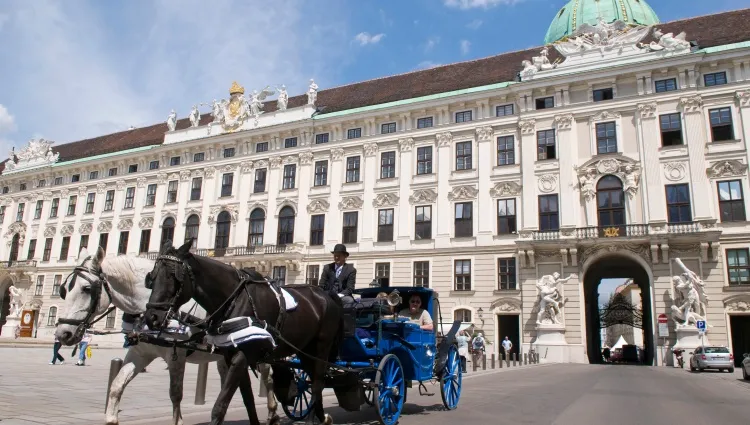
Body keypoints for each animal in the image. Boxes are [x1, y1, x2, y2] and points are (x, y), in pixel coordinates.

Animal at [54, 248, 280, 424]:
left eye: (87, 288)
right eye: (64, 290)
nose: (63, 333)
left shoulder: (176, 356)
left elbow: (175, 395)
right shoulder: (139, 354)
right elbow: (116, 386)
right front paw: (111, 418)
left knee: (268, 377)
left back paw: (272, 412)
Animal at [144, 242, 344, 424]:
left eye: (173, 276)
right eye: (151, 278)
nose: (151, 317)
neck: (236, 299)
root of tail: (326, 295)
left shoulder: (242, 356)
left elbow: (220, 406)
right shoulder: (233, 356)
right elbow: (248, 401)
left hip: (321, 347)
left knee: (317, 383)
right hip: (305, 350)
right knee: (314, 381)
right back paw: (321, 417)